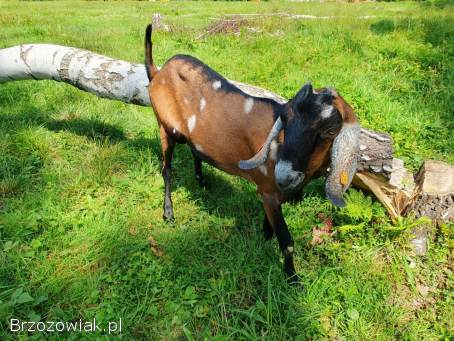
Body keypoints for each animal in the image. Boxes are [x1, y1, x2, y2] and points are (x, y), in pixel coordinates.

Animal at [144, 25, 360, 280]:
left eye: (330, 130)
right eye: (284, 118)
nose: (284, 176)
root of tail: (158, 72)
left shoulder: (271, 194)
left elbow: (270, 222)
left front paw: (264, 237)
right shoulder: (268, 188)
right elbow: (287, 241)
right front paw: (292, 278)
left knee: (194, 150)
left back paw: (201, 180)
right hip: (165, 127)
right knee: (166, 169)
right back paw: (168, 213)